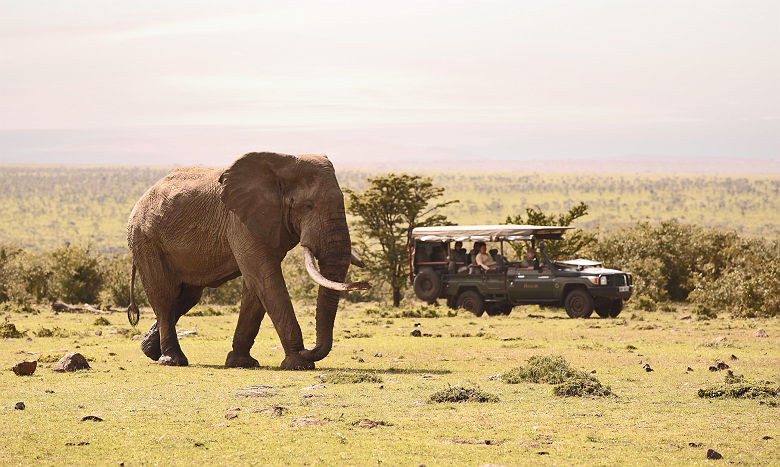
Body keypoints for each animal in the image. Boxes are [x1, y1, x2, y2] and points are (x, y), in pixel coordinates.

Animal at [126, 152, 370, 372]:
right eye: (308, 206)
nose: (365, 284)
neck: (282, 163)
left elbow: (255, 287)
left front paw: (241, 363)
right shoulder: (240, 222)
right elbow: (266, 279)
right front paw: (299, 364)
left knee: (187, 297)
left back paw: (149, 350)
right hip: (145, 239)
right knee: (164, 296)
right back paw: (172, 360)